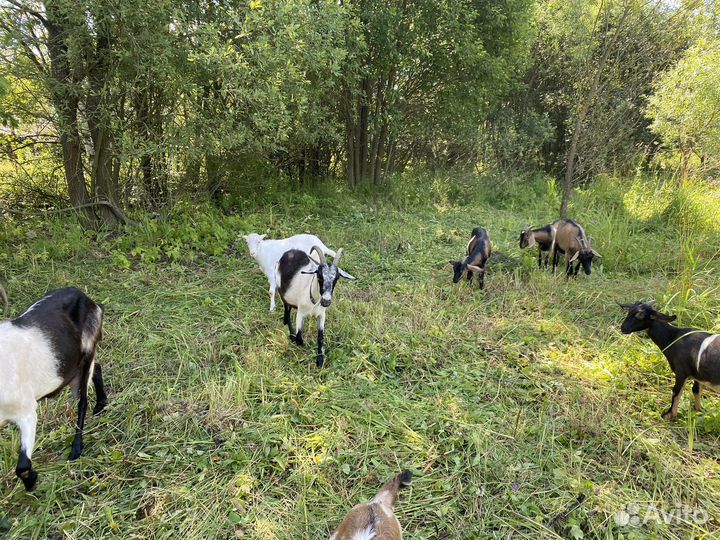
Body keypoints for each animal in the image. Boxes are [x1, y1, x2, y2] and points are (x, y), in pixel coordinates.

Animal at [0, 287, 107, 491]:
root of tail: (89, 301)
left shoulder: (27, 412)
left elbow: (23, 464)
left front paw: (32, 482)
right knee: (96, 369)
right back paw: (101, 404)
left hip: (88, 350)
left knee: (83, 401)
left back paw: (76, 449)